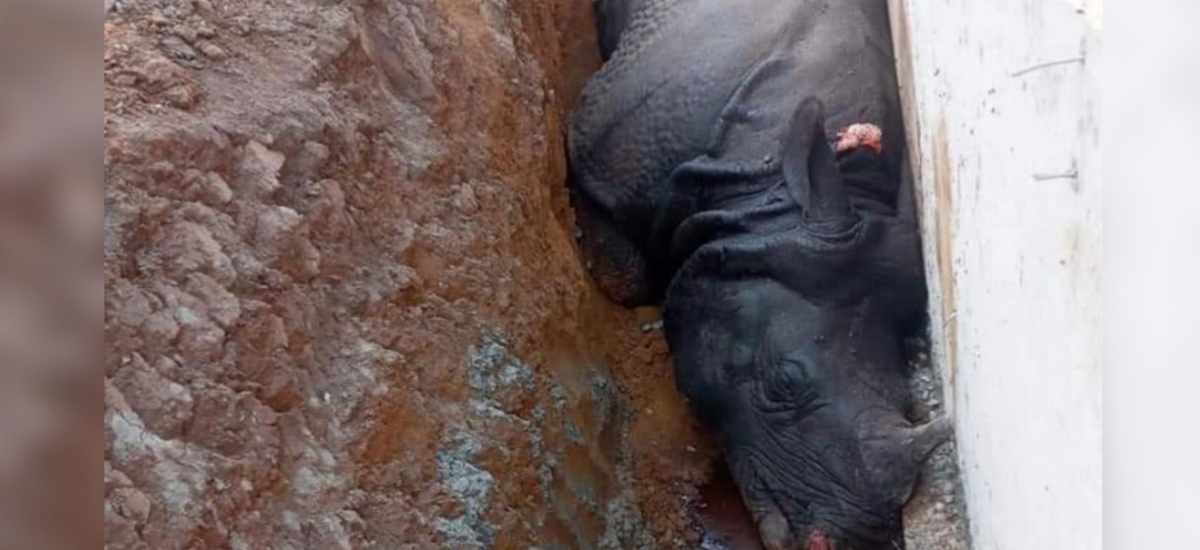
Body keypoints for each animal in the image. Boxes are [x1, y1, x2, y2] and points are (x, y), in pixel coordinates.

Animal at [568, 1, 953, 548]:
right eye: (782, 383)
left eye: (909, 405)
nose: (855, 538)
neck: (765, 201)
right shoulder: (604, 150)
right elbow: (622, 277)